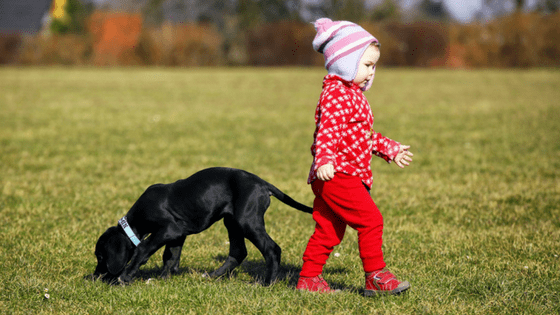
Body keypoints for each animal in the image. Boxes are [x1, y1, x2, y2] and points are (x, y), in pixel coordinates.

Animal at [92, 168, 310, 286]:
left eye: (101, 257)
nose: (95, 277)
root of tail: (262, 183)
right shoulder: (178, 234)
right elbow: (170, 257)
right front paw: (164, 278)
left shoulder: (168, 229)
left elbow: (143, 249)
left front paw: (126, 276)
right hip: (232, 222)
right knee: (238, 252)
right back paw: (212, 276)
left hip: (247, 221)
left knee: (272, 249)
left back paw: (267, 283)